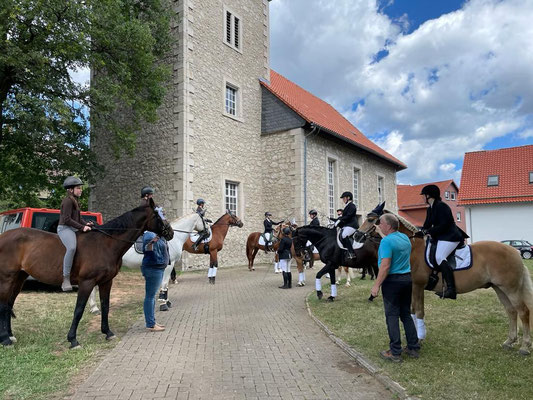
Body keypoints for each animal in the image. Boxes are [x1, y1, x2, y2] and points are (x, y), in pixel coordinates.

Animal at [0, 202, 172, 348]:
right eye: (159, 216)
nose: (170, 232)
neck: (105, 243)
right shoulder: (86, 283)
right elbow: (79, 310)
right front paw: (73, 340)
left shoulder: (106, 282)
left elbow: (105, 306)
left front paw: (108, 333)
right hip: (7, 279)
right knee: (4, 305)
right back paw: (5, 340)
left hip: (19, 278)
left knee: (9, 304)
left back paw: (11, 336)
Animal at [358, 206, 532, 356]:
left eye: (372, 220)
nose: (356, 235)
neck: (412, 246)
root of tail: (515, 251)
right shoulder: (413, 287)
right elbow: (413, 311)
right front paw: (413, 339)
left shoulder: (418, 286)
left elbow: (419, 311)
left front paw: (419, 340)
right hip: (499, 288)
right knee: (511, 311)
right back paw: (509, 341)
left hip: (511, 288)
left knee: (523, 311)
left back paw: (524, 347)